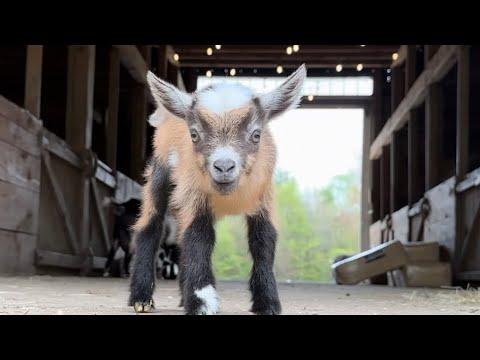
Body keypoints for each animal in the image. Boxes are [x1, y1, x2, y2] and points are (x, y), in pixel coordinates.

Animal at [129, 64, 306, 316]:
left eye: (256, 135)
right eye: (194, 134)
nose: (223, 166)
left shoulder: (264, 197)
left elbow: (263, 240)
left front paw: (268, 303)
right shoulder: (195, 196)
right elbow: (198, 238)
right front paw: (202, 302)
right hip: (160, 174)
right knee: (150, 227)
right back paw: (141, 299)